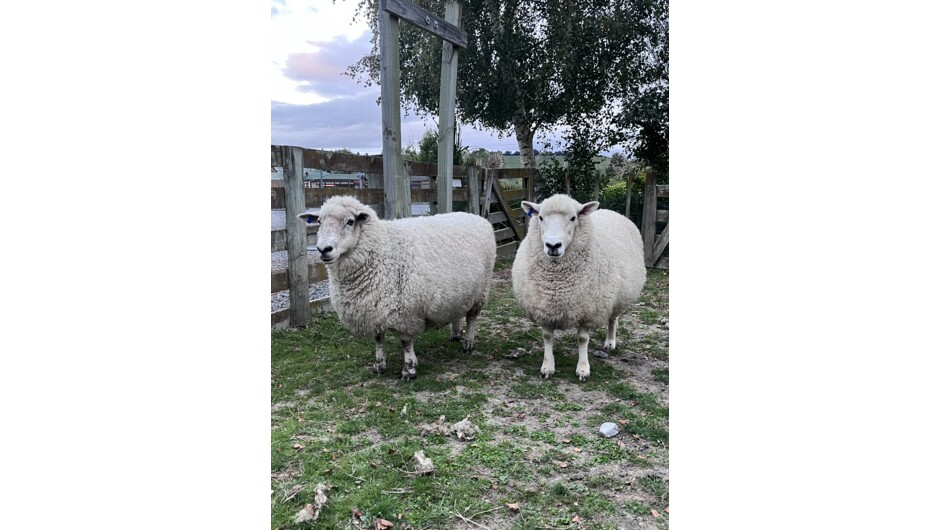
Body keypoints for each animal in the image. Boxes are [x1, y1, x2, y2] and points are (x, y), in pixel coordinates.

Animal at [297, 196, 496, 380]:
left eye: (350, 221)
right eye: (319, 221)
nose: (323, 249)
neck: (381, 250)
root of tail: (475, 216)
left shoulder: (404, 312)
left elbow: (406, 343)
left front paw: (409, 369)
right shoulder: (374, 309)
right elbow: (378, 339)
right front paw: (380, 365)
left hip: (481, 290)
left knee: (472, 317)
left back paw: (468, 343)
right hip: (459, 292)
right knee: (458, 312)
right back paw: (455, 334)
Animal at [511, 194, 646, 381]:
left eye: (573, 218)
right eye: (540, 217)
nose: (553, 246)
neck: (557, 284)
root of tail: (611, 211)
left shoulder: (587, 311)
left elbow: (582, 339)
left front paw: (583, 369)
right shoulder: (544, 308)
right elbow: (547, 337)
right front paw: (547, 367)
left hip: (616, 298)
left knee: (613, 319)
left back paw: (610, 342)